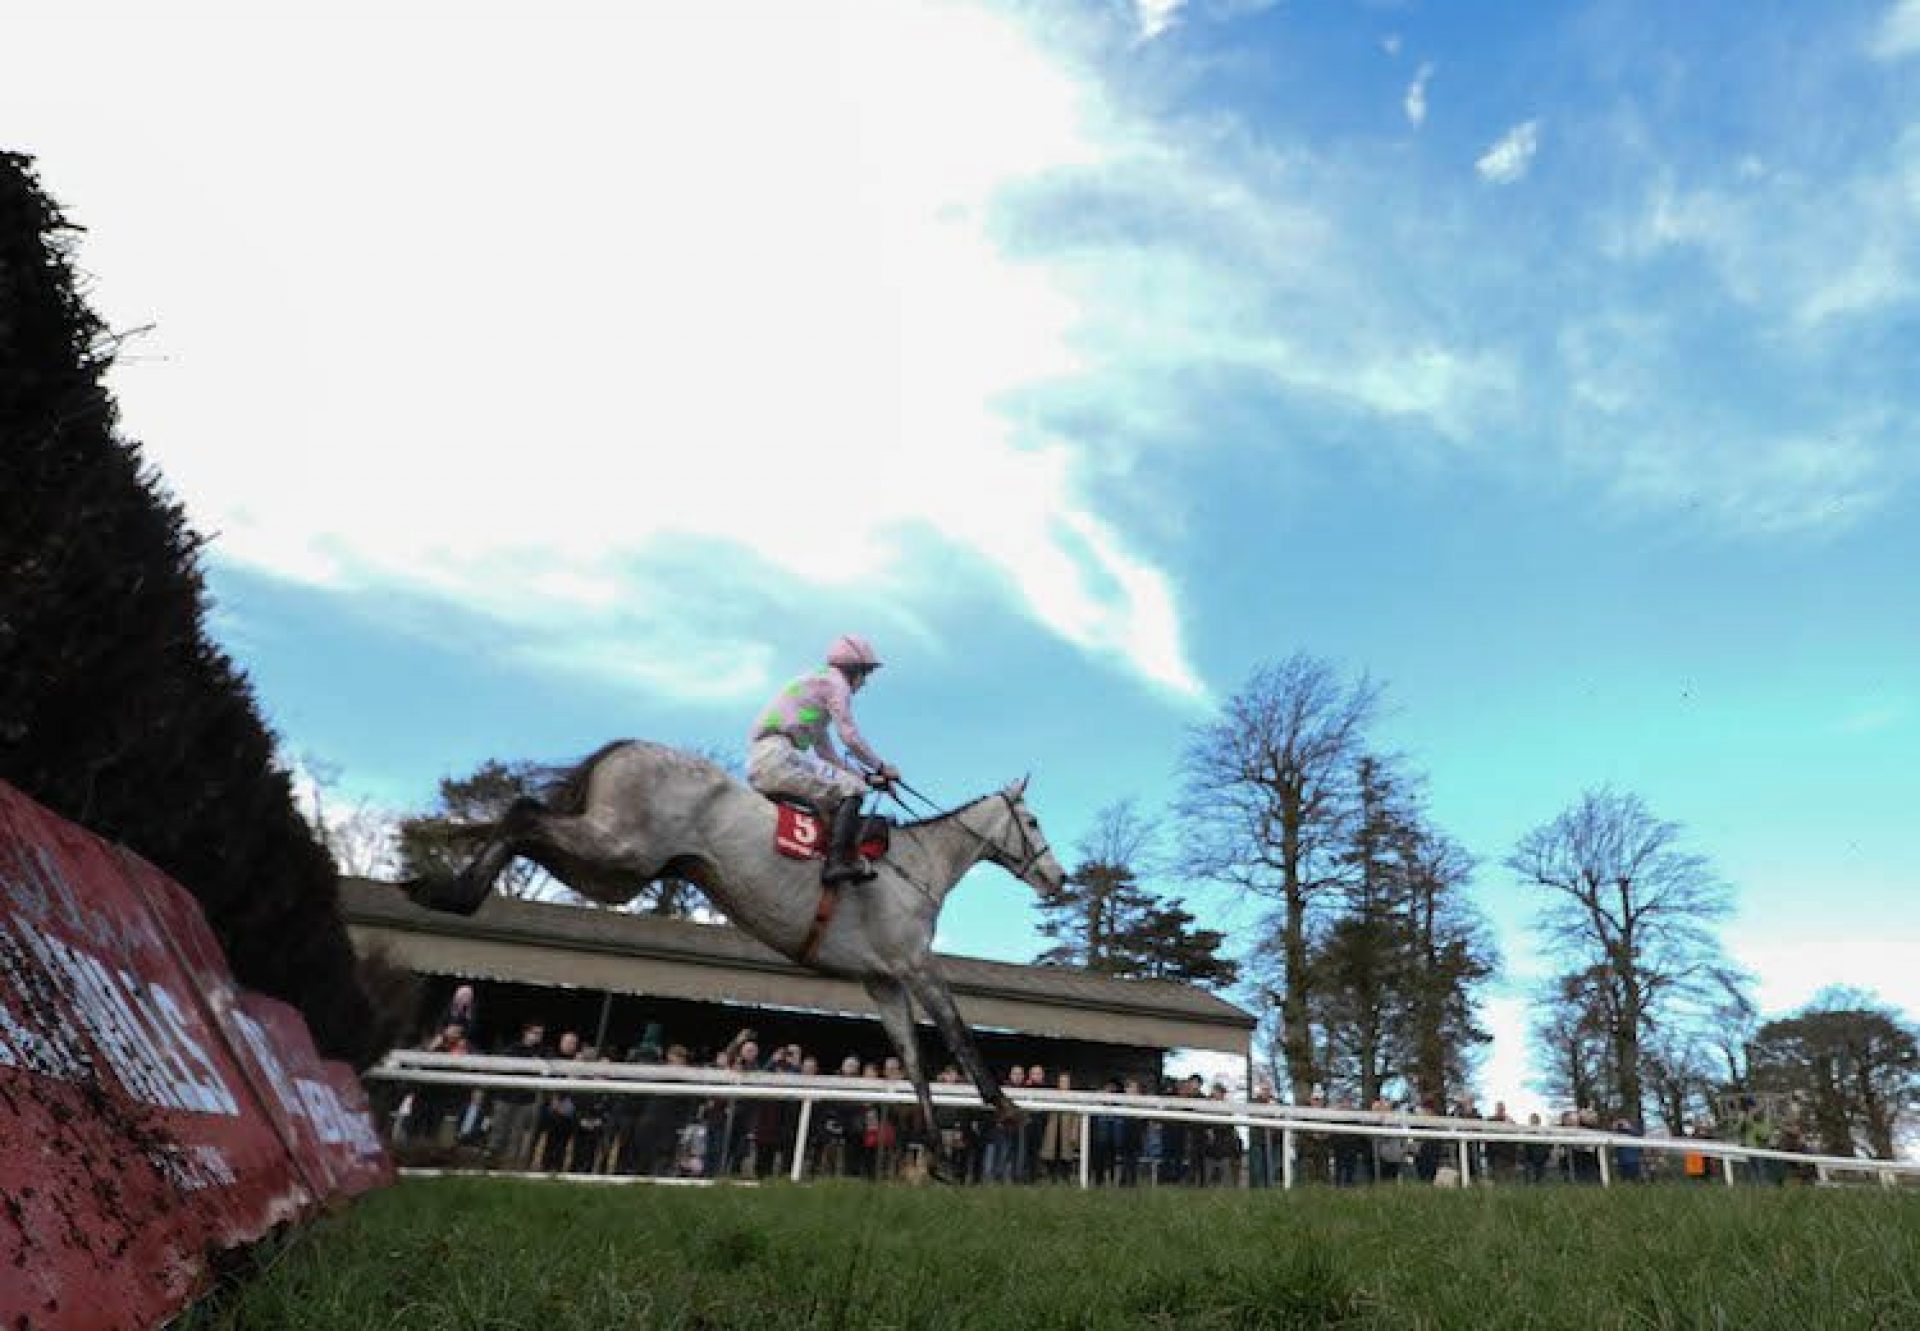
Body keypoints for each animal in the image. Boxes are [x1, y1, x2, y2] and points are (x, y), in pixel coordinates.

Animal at [408, 737, 1067, 1144]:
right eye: (1034, 821)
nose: (1057, 877)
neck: (917, 865)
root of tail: (629, 747)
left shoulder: (882, 981)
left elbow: (910, 1057)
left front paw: (935, 1149)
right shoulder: (914, 963)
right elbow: (957, 1030)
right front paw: (1005, 1107)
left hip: (615, 871)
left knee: (524, 825)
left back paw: (441, 889)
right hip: (618, 848)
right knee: (522, 812)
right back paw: (452, 892)